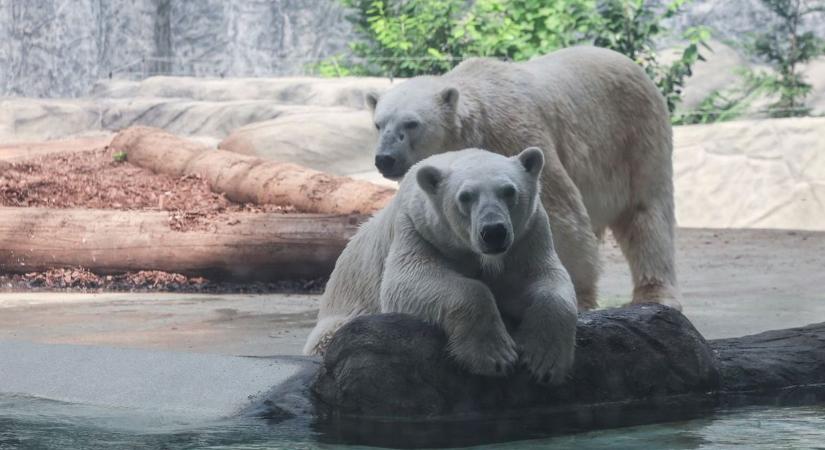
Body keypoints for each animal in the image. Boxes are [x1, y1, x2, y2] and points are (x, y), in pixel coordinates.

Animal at [300, 149, 572, 384]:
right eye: (465, 197)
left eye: (509, 191)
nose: (494, 231)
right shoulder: (417, 229)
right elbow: (408, 281)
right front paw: (496, 356)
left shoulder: (527, 236)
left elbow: (547, 278)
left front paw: (544, 361)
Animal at [366, 47, 684, 312]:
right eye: (378, 124)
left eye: (411, 123)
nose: (385, 158)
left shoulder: (513, 137)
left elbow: (560, 215)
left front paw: (574, 298)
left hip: (635, 135)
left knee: (646, 213)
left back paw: (655, 293)